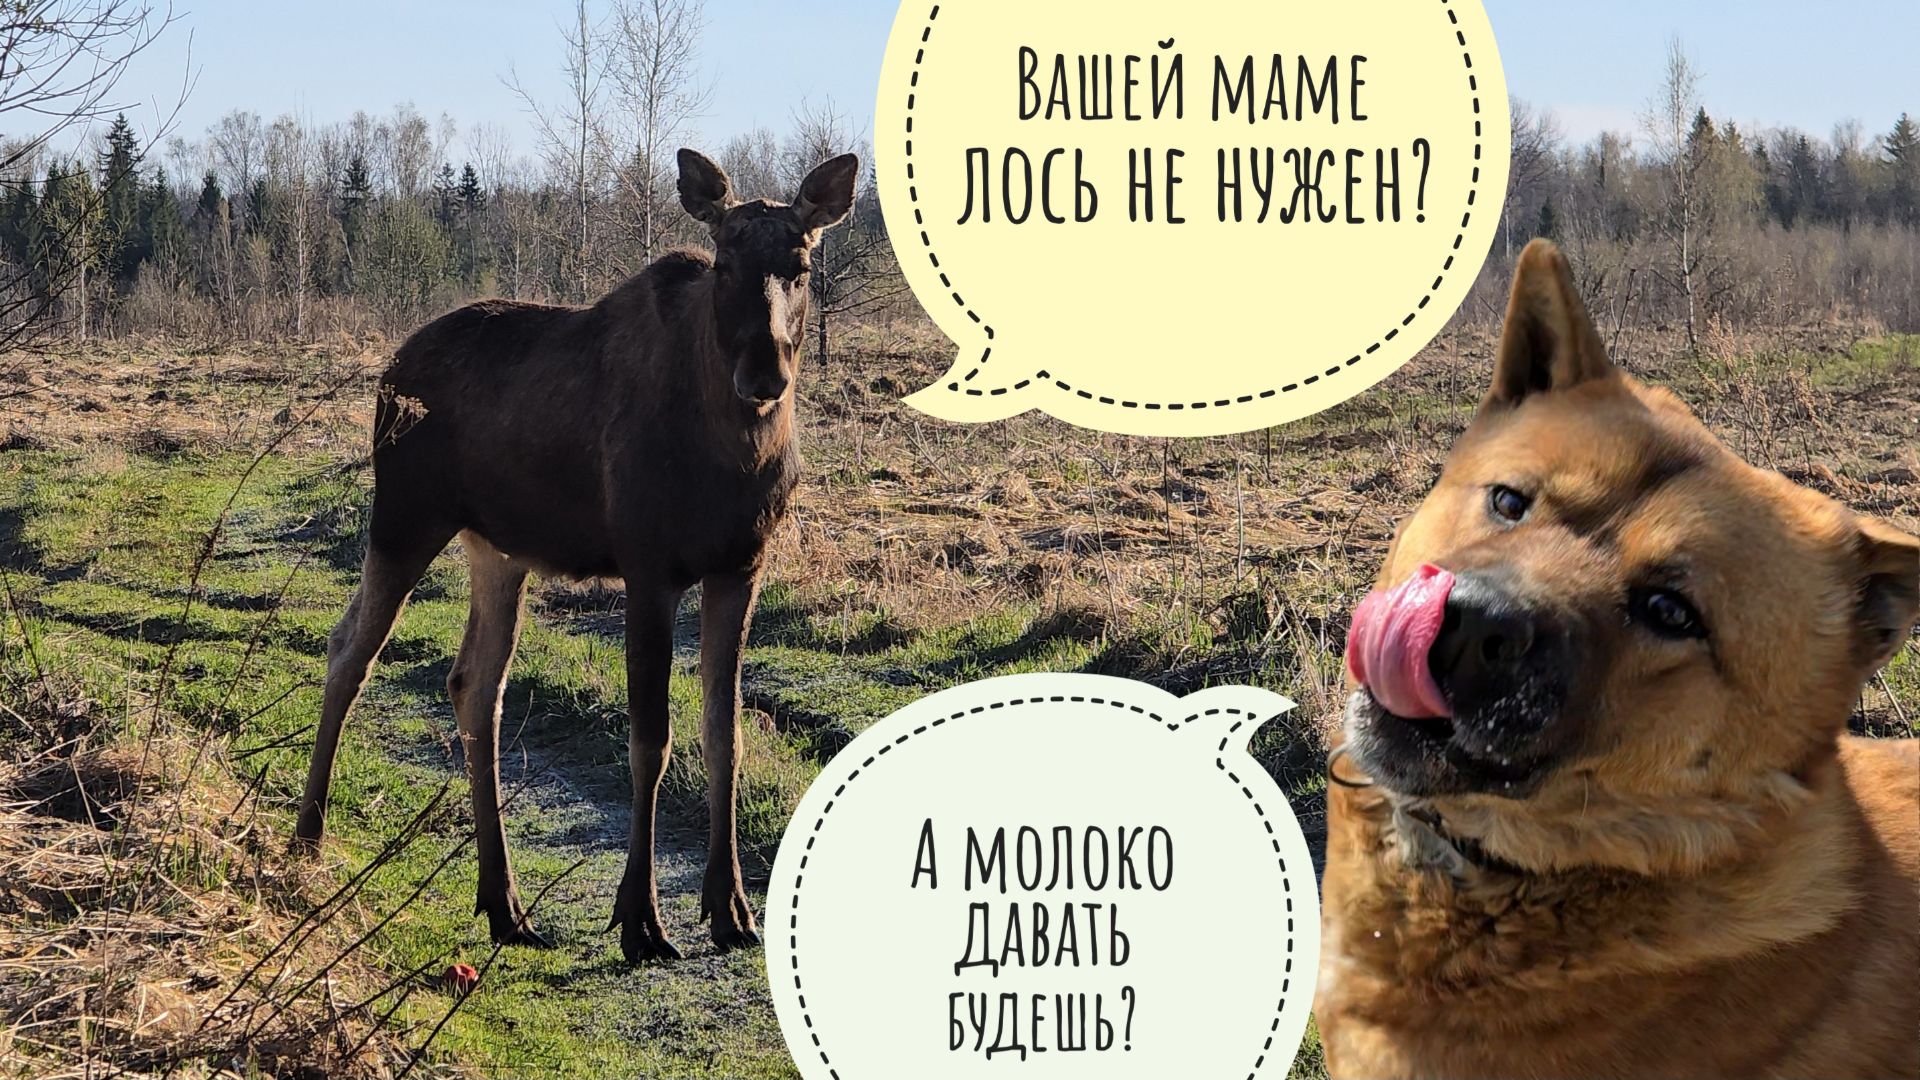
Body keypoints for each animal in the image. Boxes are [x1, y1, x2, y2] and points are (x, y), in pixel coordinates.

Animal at [293, 148, 860, 962]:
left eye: (802, 262)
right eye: (724, 263)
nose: (763, 373)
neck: (736, 448)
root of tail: (390, 365)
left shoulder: (741, 567)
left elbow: (725, 734)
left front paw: (729, 908)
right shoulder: (650, 568)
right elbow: (650, 739)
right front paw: (642, 918)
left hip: (498, 549)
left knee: (475, 685)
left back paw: (503, 903)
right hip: (403, 519)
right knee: (350, 652)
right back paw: (308, 837)